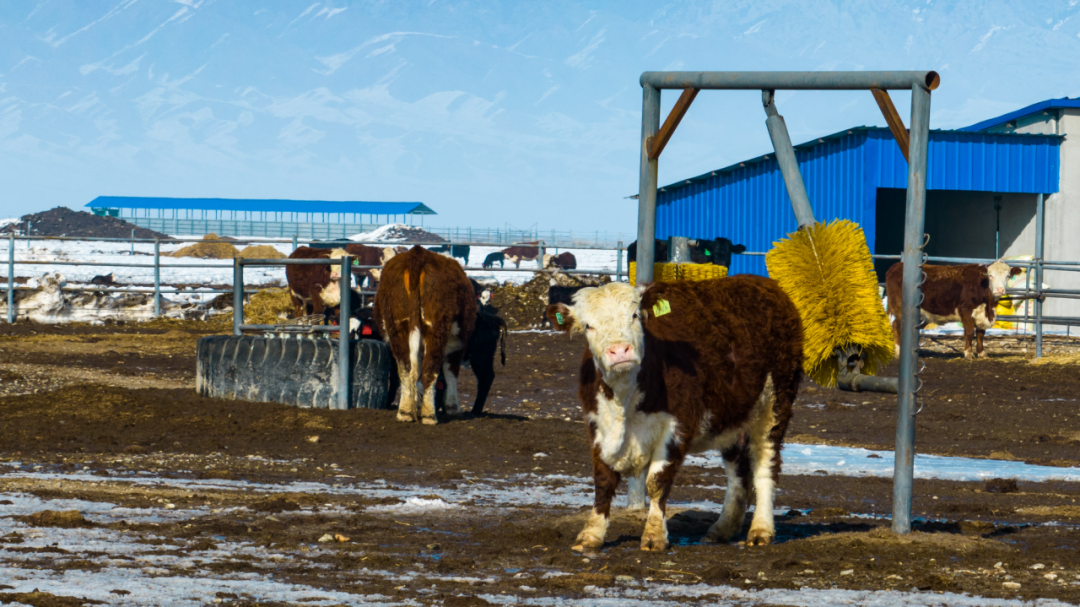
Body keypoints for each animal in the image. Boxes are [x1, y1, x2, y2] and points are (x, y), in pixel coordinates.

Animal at [374, 246, 477, 424]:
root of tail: (417, 254)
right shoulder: (458, 346)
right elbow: (451, 374)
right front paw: (453, 408)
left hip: (397, 330)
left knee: (406, 370)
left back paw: (405, 412)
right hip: (436, 330)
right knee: (430, 368)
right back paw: (429, 415)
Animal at [546, 277, 803, 553]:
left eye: (634, 315)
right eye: (588, 326)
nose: (620, 351)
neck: (624, 402)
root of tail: (764, 284)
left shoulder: (677, 426)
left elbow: (656, 482)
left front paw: (654, 535)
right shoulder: (597, 426)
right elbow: (603, 481)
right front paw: (591, 534)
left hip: (775, 403)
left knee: (766, 464)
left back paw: (761, 529)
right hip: (730, 415)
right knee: (739, 471)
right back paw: (722, 529)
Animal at [885, 260, 1022, 360]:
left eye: (1008, 276)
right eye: (990, 275)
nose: (1000, 290)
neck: (988, 305)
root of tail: (896, 266)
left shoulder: (982, 315)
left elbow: (981, 334)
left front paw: (981, 353)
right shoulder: (966, 309)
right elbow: (969, 333)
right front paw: (968, 354)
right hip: (900, 308)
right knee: (896, 326)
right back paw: (899, 352)